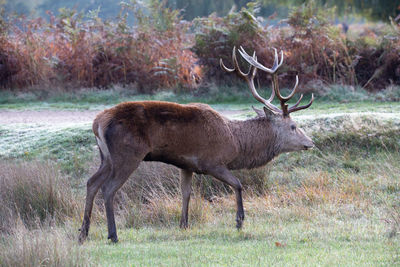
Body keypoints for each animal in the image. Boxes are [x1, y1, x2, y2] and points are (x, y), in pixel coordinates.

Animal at [78, 46, 314, 245]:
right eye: (293, 126)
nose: (310, 143)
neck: (236, 143)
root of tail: (97, 122)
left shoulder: (187, 165)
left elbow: (186, 193)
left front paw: (183, 225)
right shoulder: (211, 162)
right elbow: (238, 184)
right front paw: (239, 221)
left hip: (106, 157)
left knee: (91, 183)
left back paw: (83, 234)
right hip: (127, 154)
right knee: (108, 188)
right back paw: (113, 235)